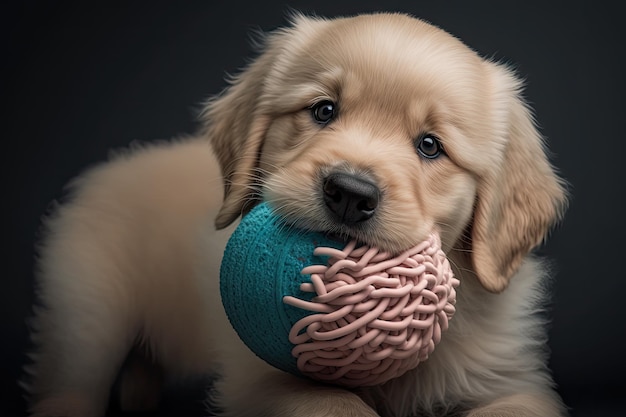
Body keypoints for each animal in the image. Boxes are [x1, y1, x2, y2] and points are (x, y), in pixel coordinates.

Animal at [24, 11, 568, 414]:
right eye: (323, 110)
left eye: (430, 145)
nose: (349, 193)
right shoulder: (257, 374)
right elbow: (330, 402)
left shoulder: (513, 378)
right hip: (90, 308)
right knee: (73, 377)